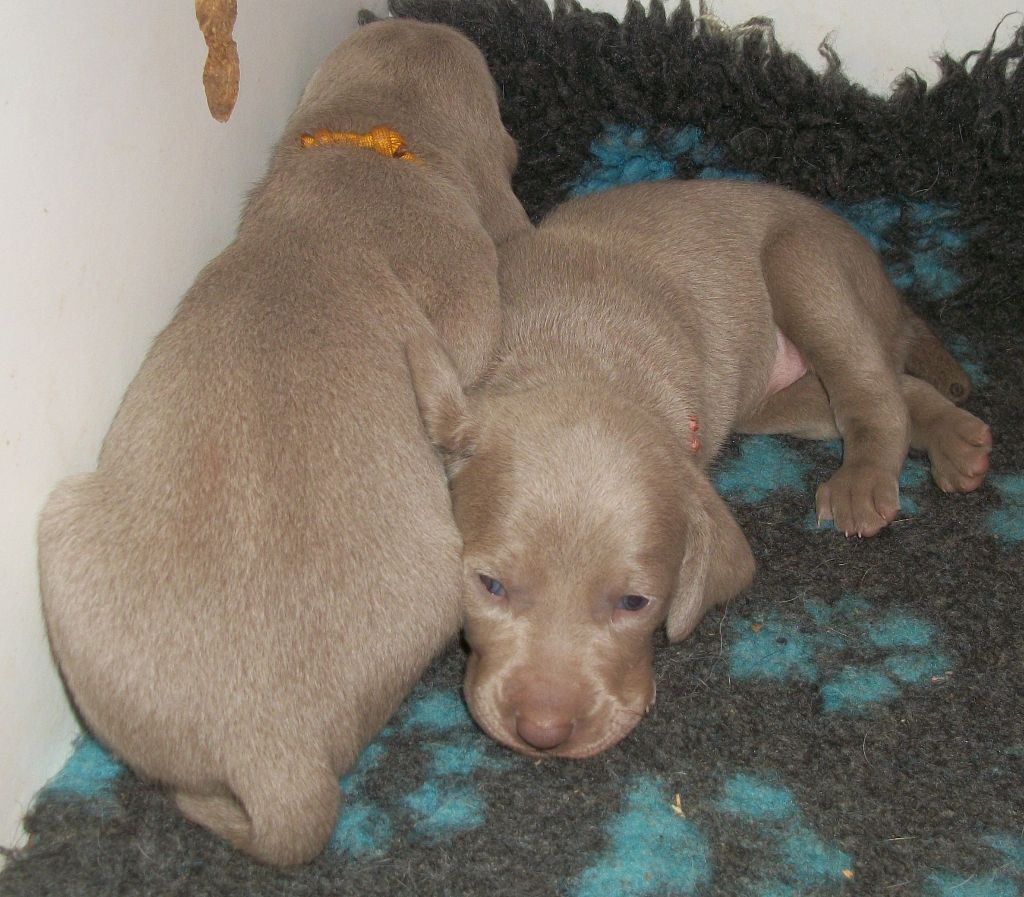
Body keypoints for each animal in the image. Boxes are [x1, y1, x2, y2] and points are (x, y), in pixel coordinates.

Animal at [407, 178, 991, 760]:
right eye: (489, 585)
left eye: (635, 603)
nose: (542, 733)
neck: (576, 358)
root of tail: (895, 300)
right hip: (772, 400)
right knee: (894, 386)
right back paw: (954, 439)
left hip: (804, 263)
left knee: (874, 391)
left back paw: (867, 481)